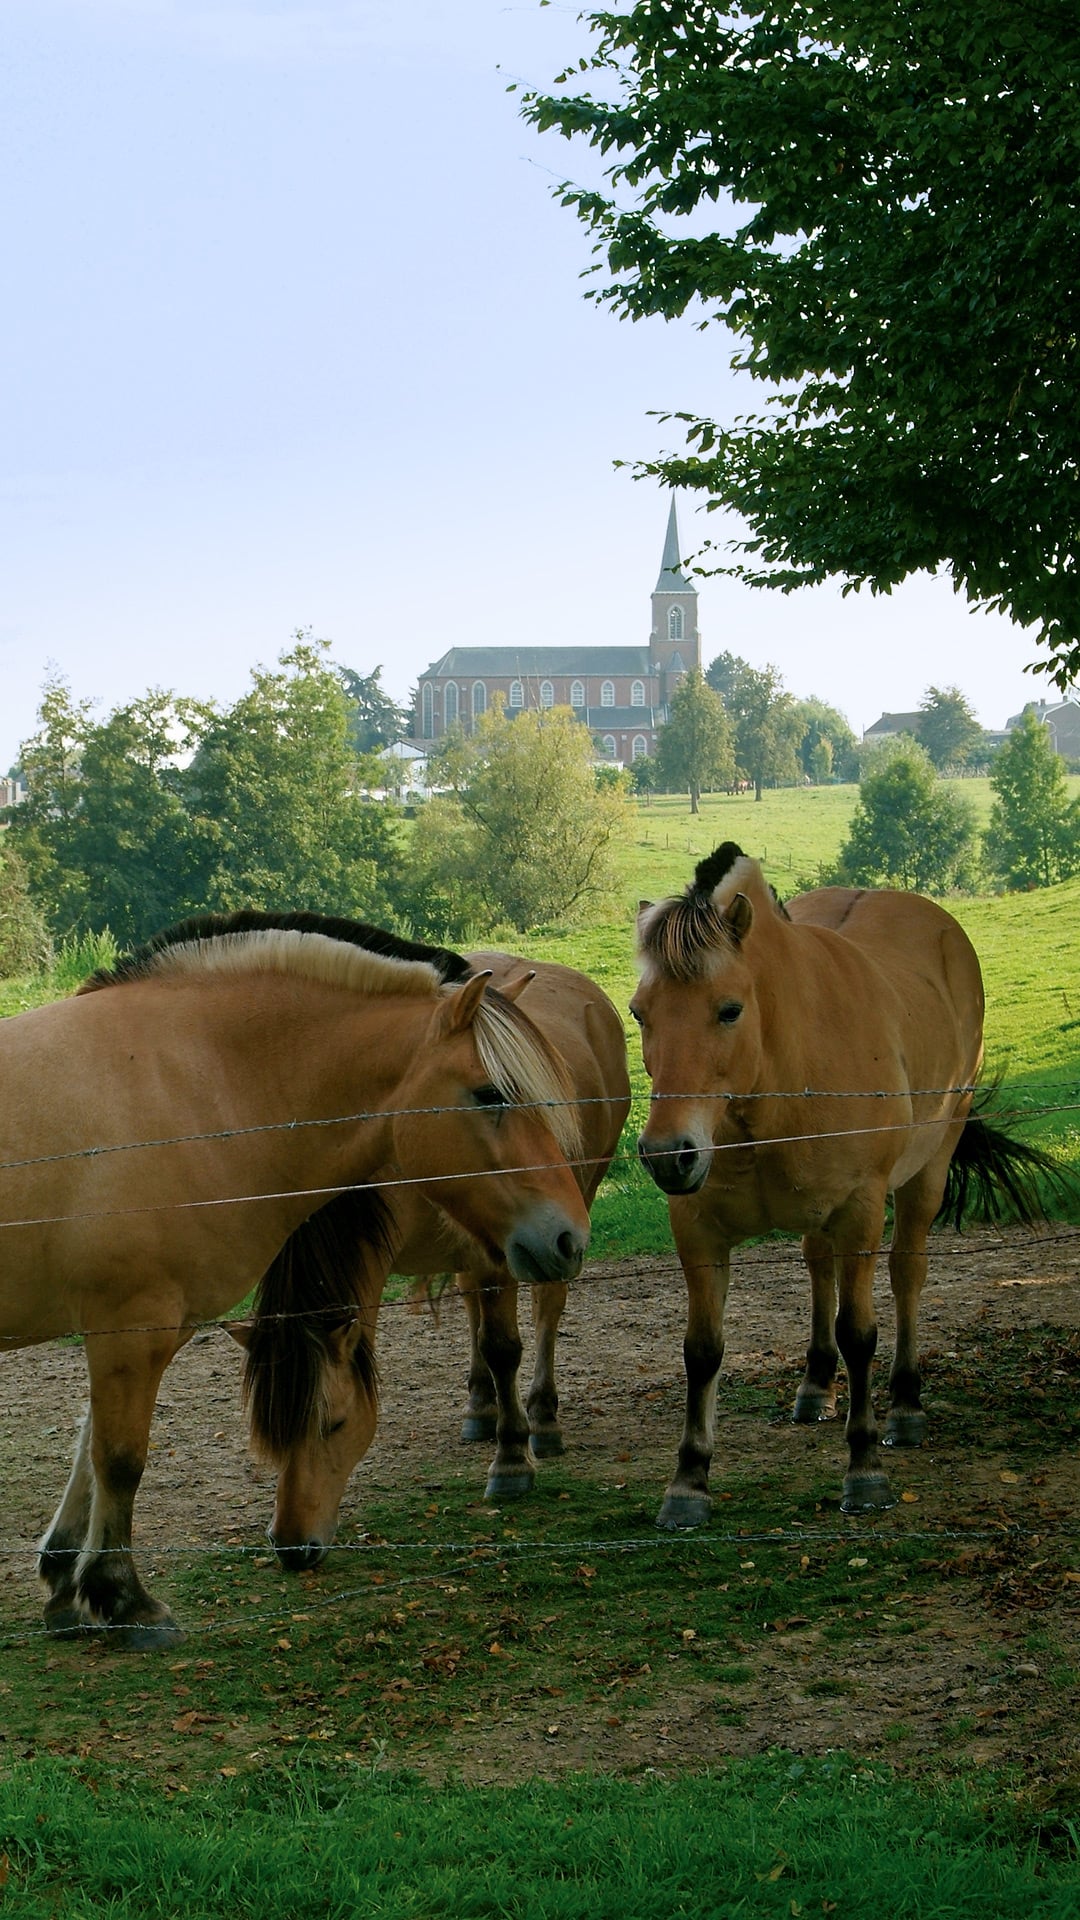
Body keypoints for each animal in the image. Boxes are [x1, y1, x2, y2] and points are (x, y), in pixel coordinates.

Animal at [230, 952, 626, 1566]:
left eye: (334, 1423)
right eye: (265, 1432)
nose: (292, 1547)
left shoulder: (506, 1249)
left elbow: (504, 1346)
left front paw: (513, 1461)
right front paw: (490, 1415)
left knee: (547, 1308)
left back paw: (541, 1416)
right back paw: (481, 1408)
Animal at [626, 840, 1053, 1528]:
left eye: (729, 1009)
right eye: (641, 1013)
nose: (669, 1156)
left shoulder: (859, 1211)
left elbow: (860, 1332)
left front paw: (865, 1467)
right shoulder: (698, 1231)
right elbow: (702, 1349)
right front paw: (688, 1481)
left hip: (925, 1176)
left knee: (906, 1273)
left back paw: (905, 1407)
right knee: (817, 1267)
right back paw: (815, 1386)